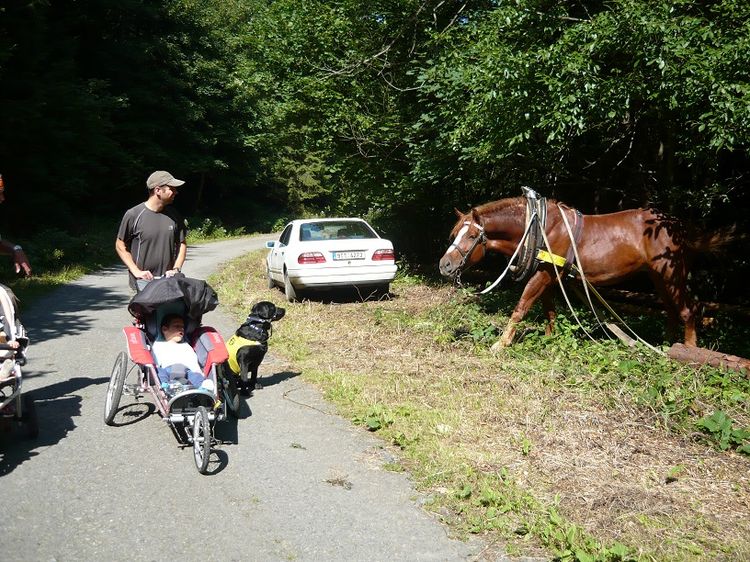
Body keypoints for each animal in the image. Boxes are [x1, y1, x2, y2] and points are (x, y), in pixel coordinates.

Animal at [438, 195, 724, 348]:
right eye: (454, 234)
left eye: (472, 235)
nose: (444, 265)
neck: (540, 228)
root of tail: (677, 227)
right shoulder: (550, 276)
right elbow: (549, 311)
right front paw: (549, 339)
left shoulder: (543, 275)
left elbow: (521, 307)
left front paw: (501, 344)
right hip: (657, 277)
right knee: (671, 311)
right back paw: (664, 345)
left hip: (671, 273)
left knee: (688, 310)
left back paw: (687, 352)